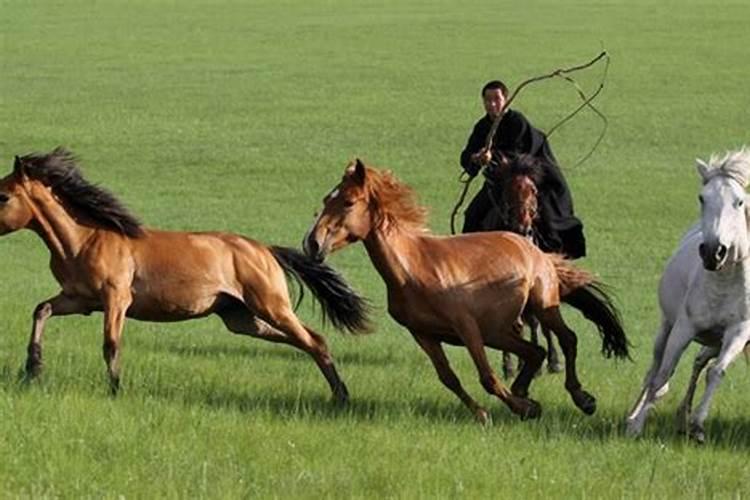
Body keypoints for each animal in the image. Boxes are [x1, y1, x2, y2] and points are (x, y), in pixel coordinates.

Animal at [0, 148, 370, 402]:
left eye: (3, 196)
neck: (86, 239)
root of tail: (265, 250)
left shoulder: (116, 299)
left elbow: (111, 344)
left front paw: (116, 389)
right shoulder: (80, 299)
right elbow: (42, 309)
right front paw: (32, 369)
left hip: (271, 306)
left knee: (315, 341)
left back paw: (342, 396)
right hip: (243, 319)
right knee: (304, 342)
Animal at [482, 154, 564, 376]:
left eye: (533, 190)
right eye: (508, 190)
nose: (522, 228)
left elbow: (537, 322)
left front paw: (548, 363)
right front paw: (510, 366)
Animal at [624, 147, 750, 442]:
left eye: (739, 202)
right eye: (702, 198)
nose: (713, 252)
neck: (724, 284)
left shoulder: (738, 333)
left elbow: (716, 372)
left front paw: (698, 424)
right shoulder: (684, 328)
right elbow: (663, 374)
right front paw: (636, 426)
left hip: (713, 341)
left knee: (699, 365)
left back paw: (684, 420)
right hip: (666, 328)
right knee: (653, 371)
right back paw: (633, 415)